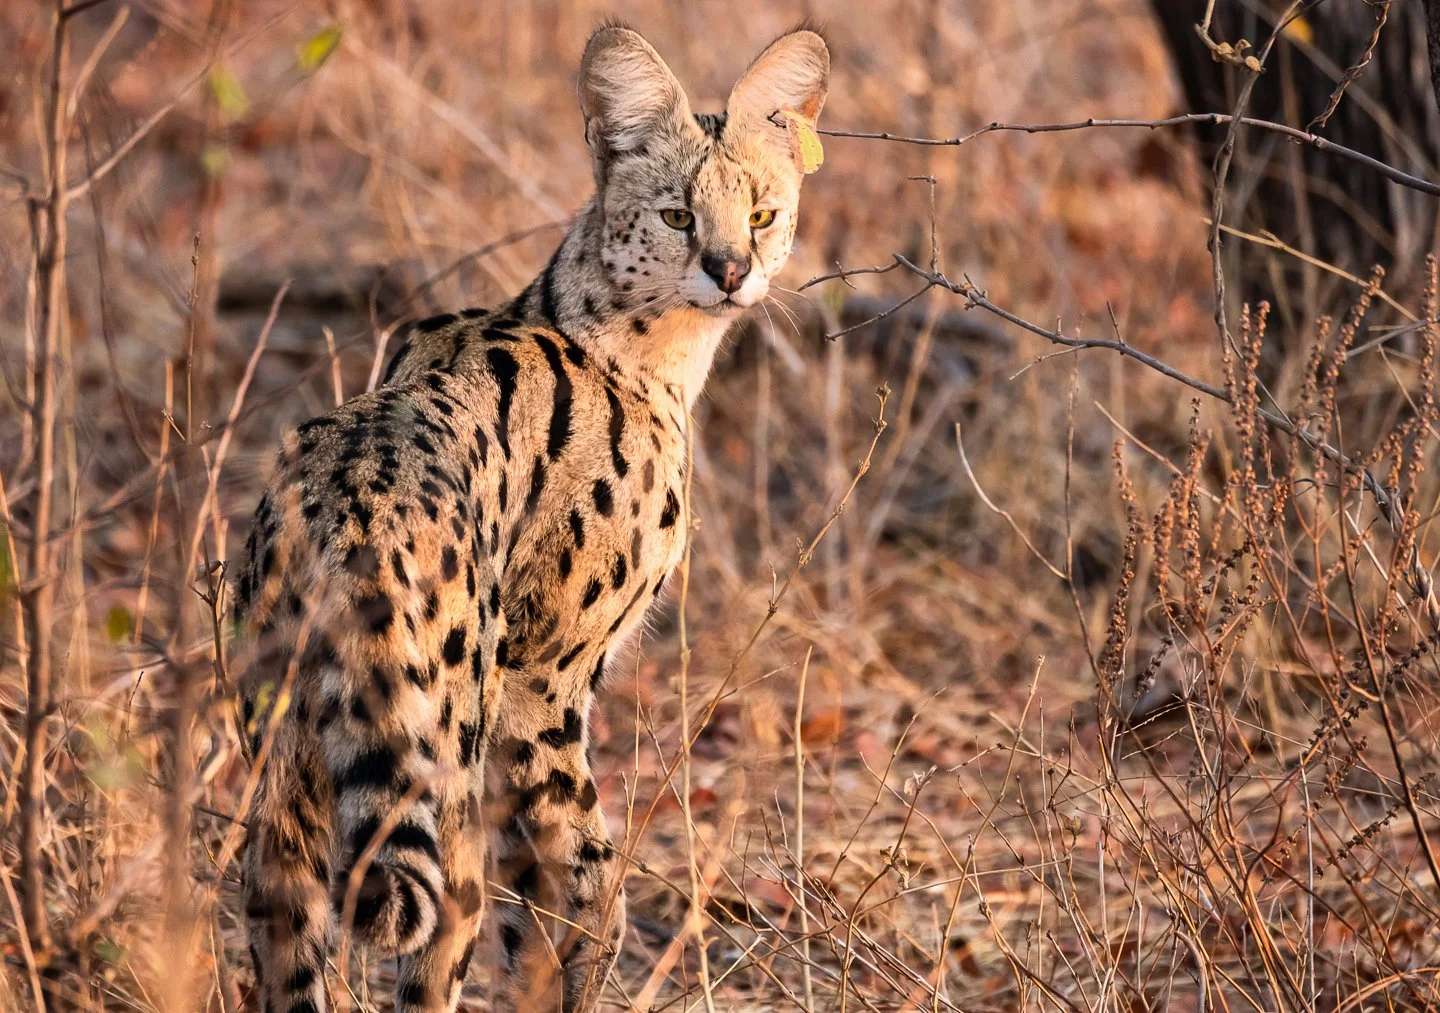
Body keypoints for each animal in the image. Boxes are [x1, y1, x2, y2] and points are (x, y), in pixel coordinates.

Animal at [230, 22, 828, 1013]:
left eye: (762, 213)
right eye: (676, 216)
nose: (732, 271)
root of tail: (345, 497)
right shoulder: (543, 681)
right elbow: (580, 901)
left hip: (288, 763)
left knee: (285, 925)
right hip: (445, 750)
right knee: (444, 928)